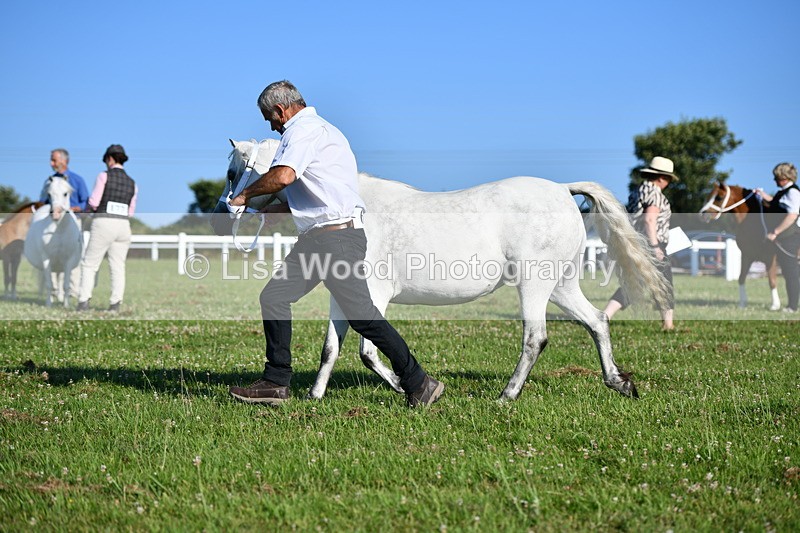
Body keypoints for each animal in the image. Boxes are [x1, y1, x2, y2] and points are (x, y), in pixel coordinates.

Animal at [23, 178, 84, 307]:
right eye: (49, 194)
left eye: (65, 193)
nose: (55, 213)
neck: (59, 231)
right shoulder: (46, 259)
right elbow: (49, 284)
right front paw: (48, 304)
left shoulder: (68, 261)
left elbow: (65, 285)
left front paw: (66, 305)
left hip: (60, 264)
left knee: (59, 279)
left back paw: (59, 298)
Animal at [212, 139, 669, 402]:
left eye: (234, 171)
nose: (219, 216)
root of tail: (561, 189)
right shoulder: (343, 296)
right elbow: (331, 349)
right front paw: (315, 396)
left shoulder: (373, 295)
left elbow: (368, 351)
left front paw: (410, 388)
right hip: (560, 285)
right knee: (596, 321)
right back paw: (620, 383)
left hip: (534, 284)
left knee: (535, 338)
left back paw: (506, 396)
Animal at [699, 181, 780, 310]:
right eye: (708, 197)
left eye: (719, 197)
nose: (703, 214)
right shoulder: (746, 256)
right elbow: (741, 278)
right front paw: (742, 303)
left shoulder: (770, 258)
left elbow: (772, 280)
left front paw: (775, 305)